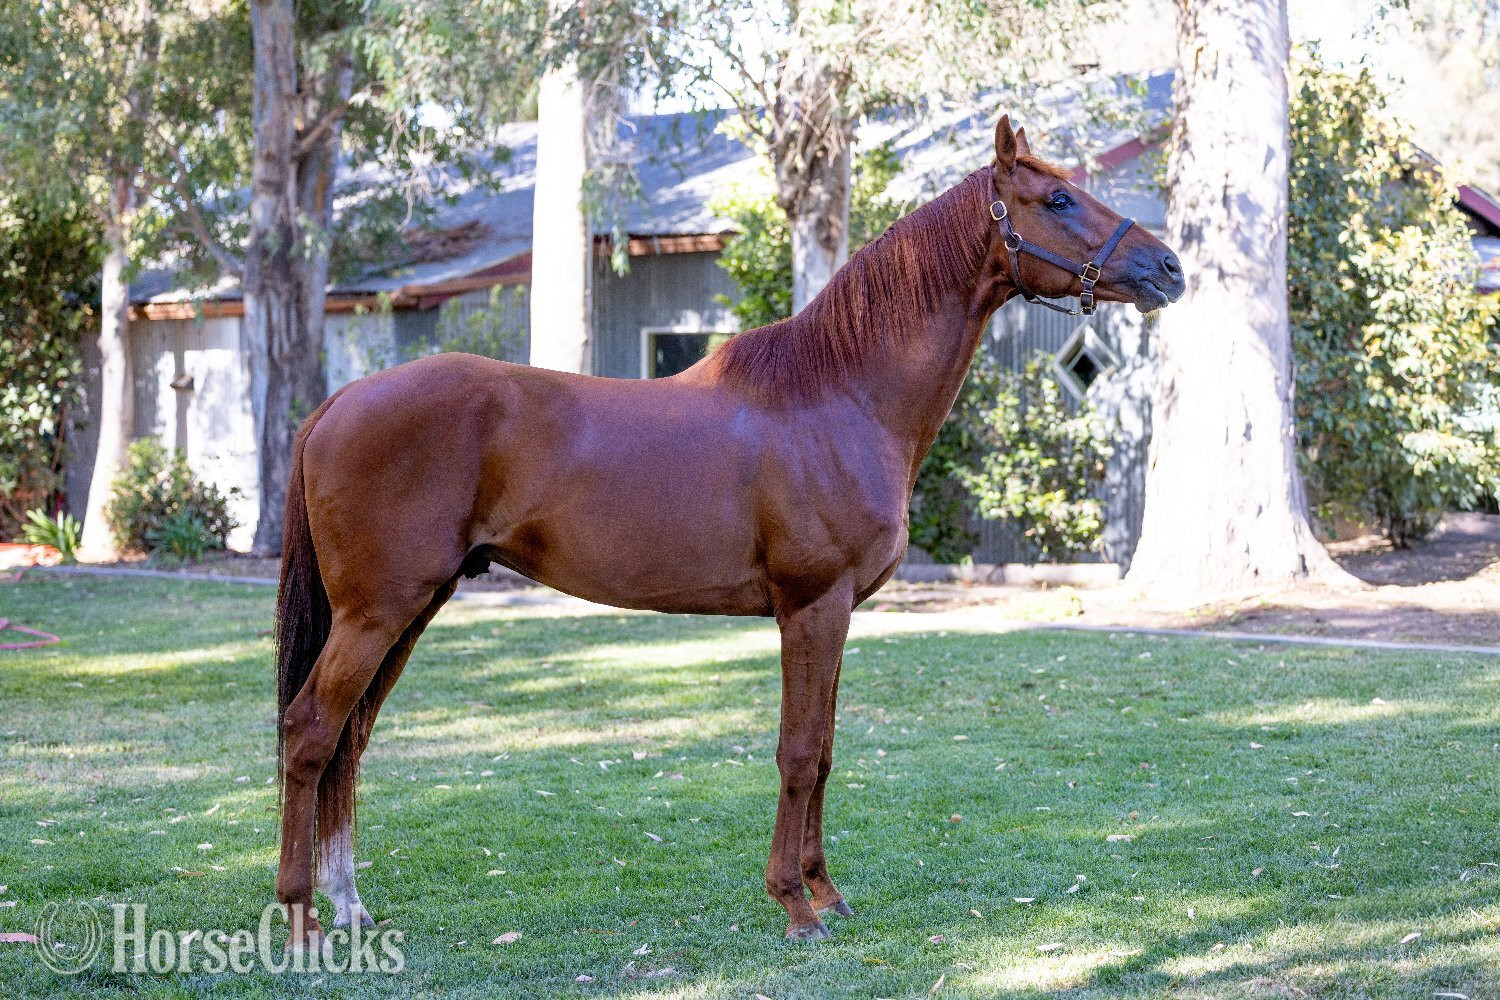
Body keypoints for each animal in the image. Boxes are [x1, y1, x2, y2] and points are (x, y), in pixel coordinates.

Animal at [273, 115, 1185, 947]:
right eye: (1057, 198)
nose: (1169, 267)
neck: (839, 394)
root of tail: (337, 402)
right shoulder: (811, 605)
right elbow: (798, 753)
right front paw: (795, 907)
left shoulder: (838, 612)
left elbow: (825, 750)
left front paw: (827, 894)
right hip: (378, 612)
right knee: (311, 731)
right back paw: (301, 917)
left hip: (410, 609)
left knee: (350, 741)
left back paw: (349, 906)